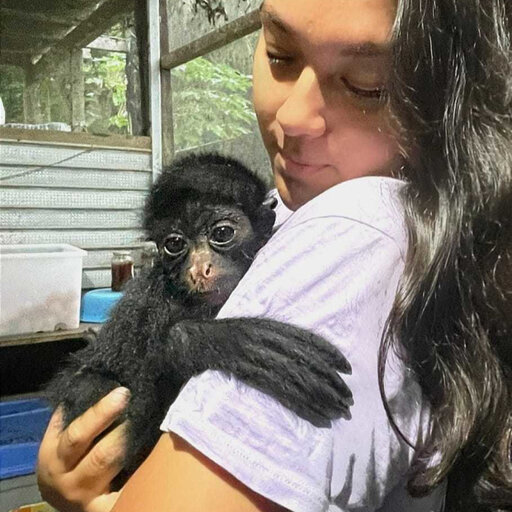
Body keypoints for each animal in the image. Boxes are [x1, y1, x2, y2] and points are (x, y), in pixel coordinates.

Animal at [47, 153, 352, 488]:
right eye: (174, 245)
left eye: (222, 234)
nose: (198, 269)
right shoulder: (144, 300)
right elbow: (94, 376)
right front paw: (224, 341)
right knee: (93, 386)